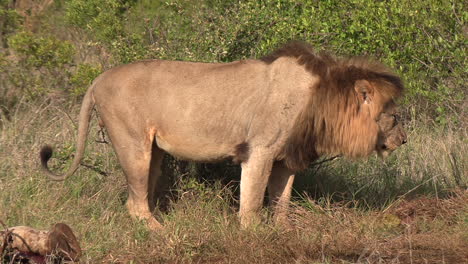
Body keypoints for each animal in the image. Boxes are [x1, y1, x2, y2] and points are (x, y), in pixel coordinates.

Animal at [40, 41, 406, 229]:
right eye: (393, 114)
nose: (403, 139)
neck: (321, 101)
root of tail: (97, 79)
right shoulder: (259, 150)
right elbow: (252, 203)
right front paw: (253, 237)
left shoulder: (286, 158)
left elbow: (282, 200)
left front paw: (283, 232)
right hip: (133, 146)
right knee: (134, 204)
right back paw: (162, 233)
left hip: (152, 151)